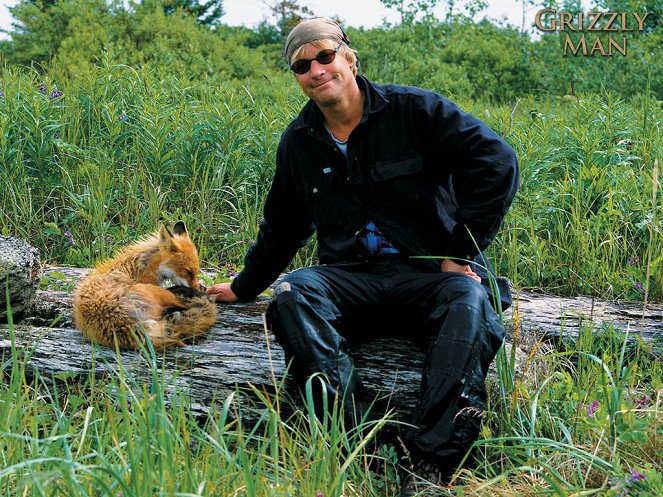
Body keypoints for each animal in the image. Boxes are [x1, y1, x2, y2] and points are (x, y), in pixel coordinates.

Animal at [73, 221, 218, 348]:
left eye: (196, 272)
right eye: (188, 272)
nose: (197, 288)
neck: (141, 268)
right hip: (159, 293)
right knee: (183, 304)